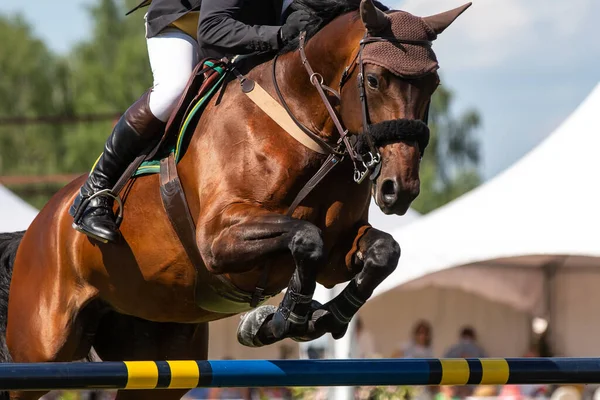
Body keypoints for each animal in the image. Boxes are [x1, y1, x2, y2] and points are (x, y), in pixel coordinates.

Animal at [0, 1, 468, 398]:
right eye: (373, 80)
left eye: (433, 85)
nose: (398, 189)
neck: (304, 129)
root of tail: (38, 227)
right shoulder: (218, 239)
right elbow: (306, 238)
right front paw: (283, 319)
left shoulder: (339, 252)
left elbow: (381, 252)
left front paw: (317, 317)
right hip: (42, 347)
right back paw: (93, 209)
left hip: (159, 355)